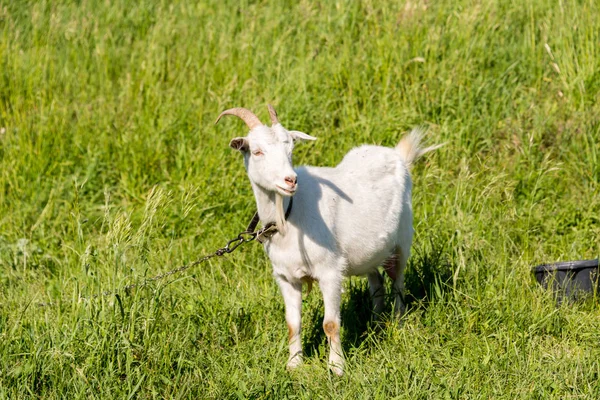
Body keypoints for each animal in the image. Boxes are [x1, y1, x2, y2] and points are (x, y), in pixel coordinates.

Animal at [216, 105, 440, 376]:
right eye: (256, 151)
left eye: (290, 149)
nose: (290, 180)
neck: (291, 213)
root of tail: (397, 155)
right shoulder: (285, 277)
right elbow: (293, 323)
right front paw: (294, 365)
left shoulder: (330, 272)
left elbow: (331, 324)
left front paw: (336, 368)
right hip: (369, 251)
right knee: (377, 282)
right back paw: (376, 324)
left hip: (402, 241)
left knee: (398, 283)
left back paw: (398, 323)